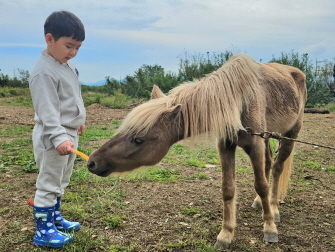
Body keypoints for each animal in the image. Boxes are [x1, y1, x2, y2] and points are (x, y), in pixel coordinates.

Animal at [86, 54, 308, 249]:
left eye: (138, 139)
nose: (92, 162)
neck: (238, 102)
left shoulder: (255, 145)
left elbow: (261, 185)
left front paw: (269, 229)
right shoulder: (226, 145)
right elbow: (228, 189)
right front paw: (226, 235)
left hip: (290, 133)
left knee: (277, 167)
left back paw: (274, 208)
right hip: (268, 137)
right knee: (269, 163)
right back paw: (259, 203)